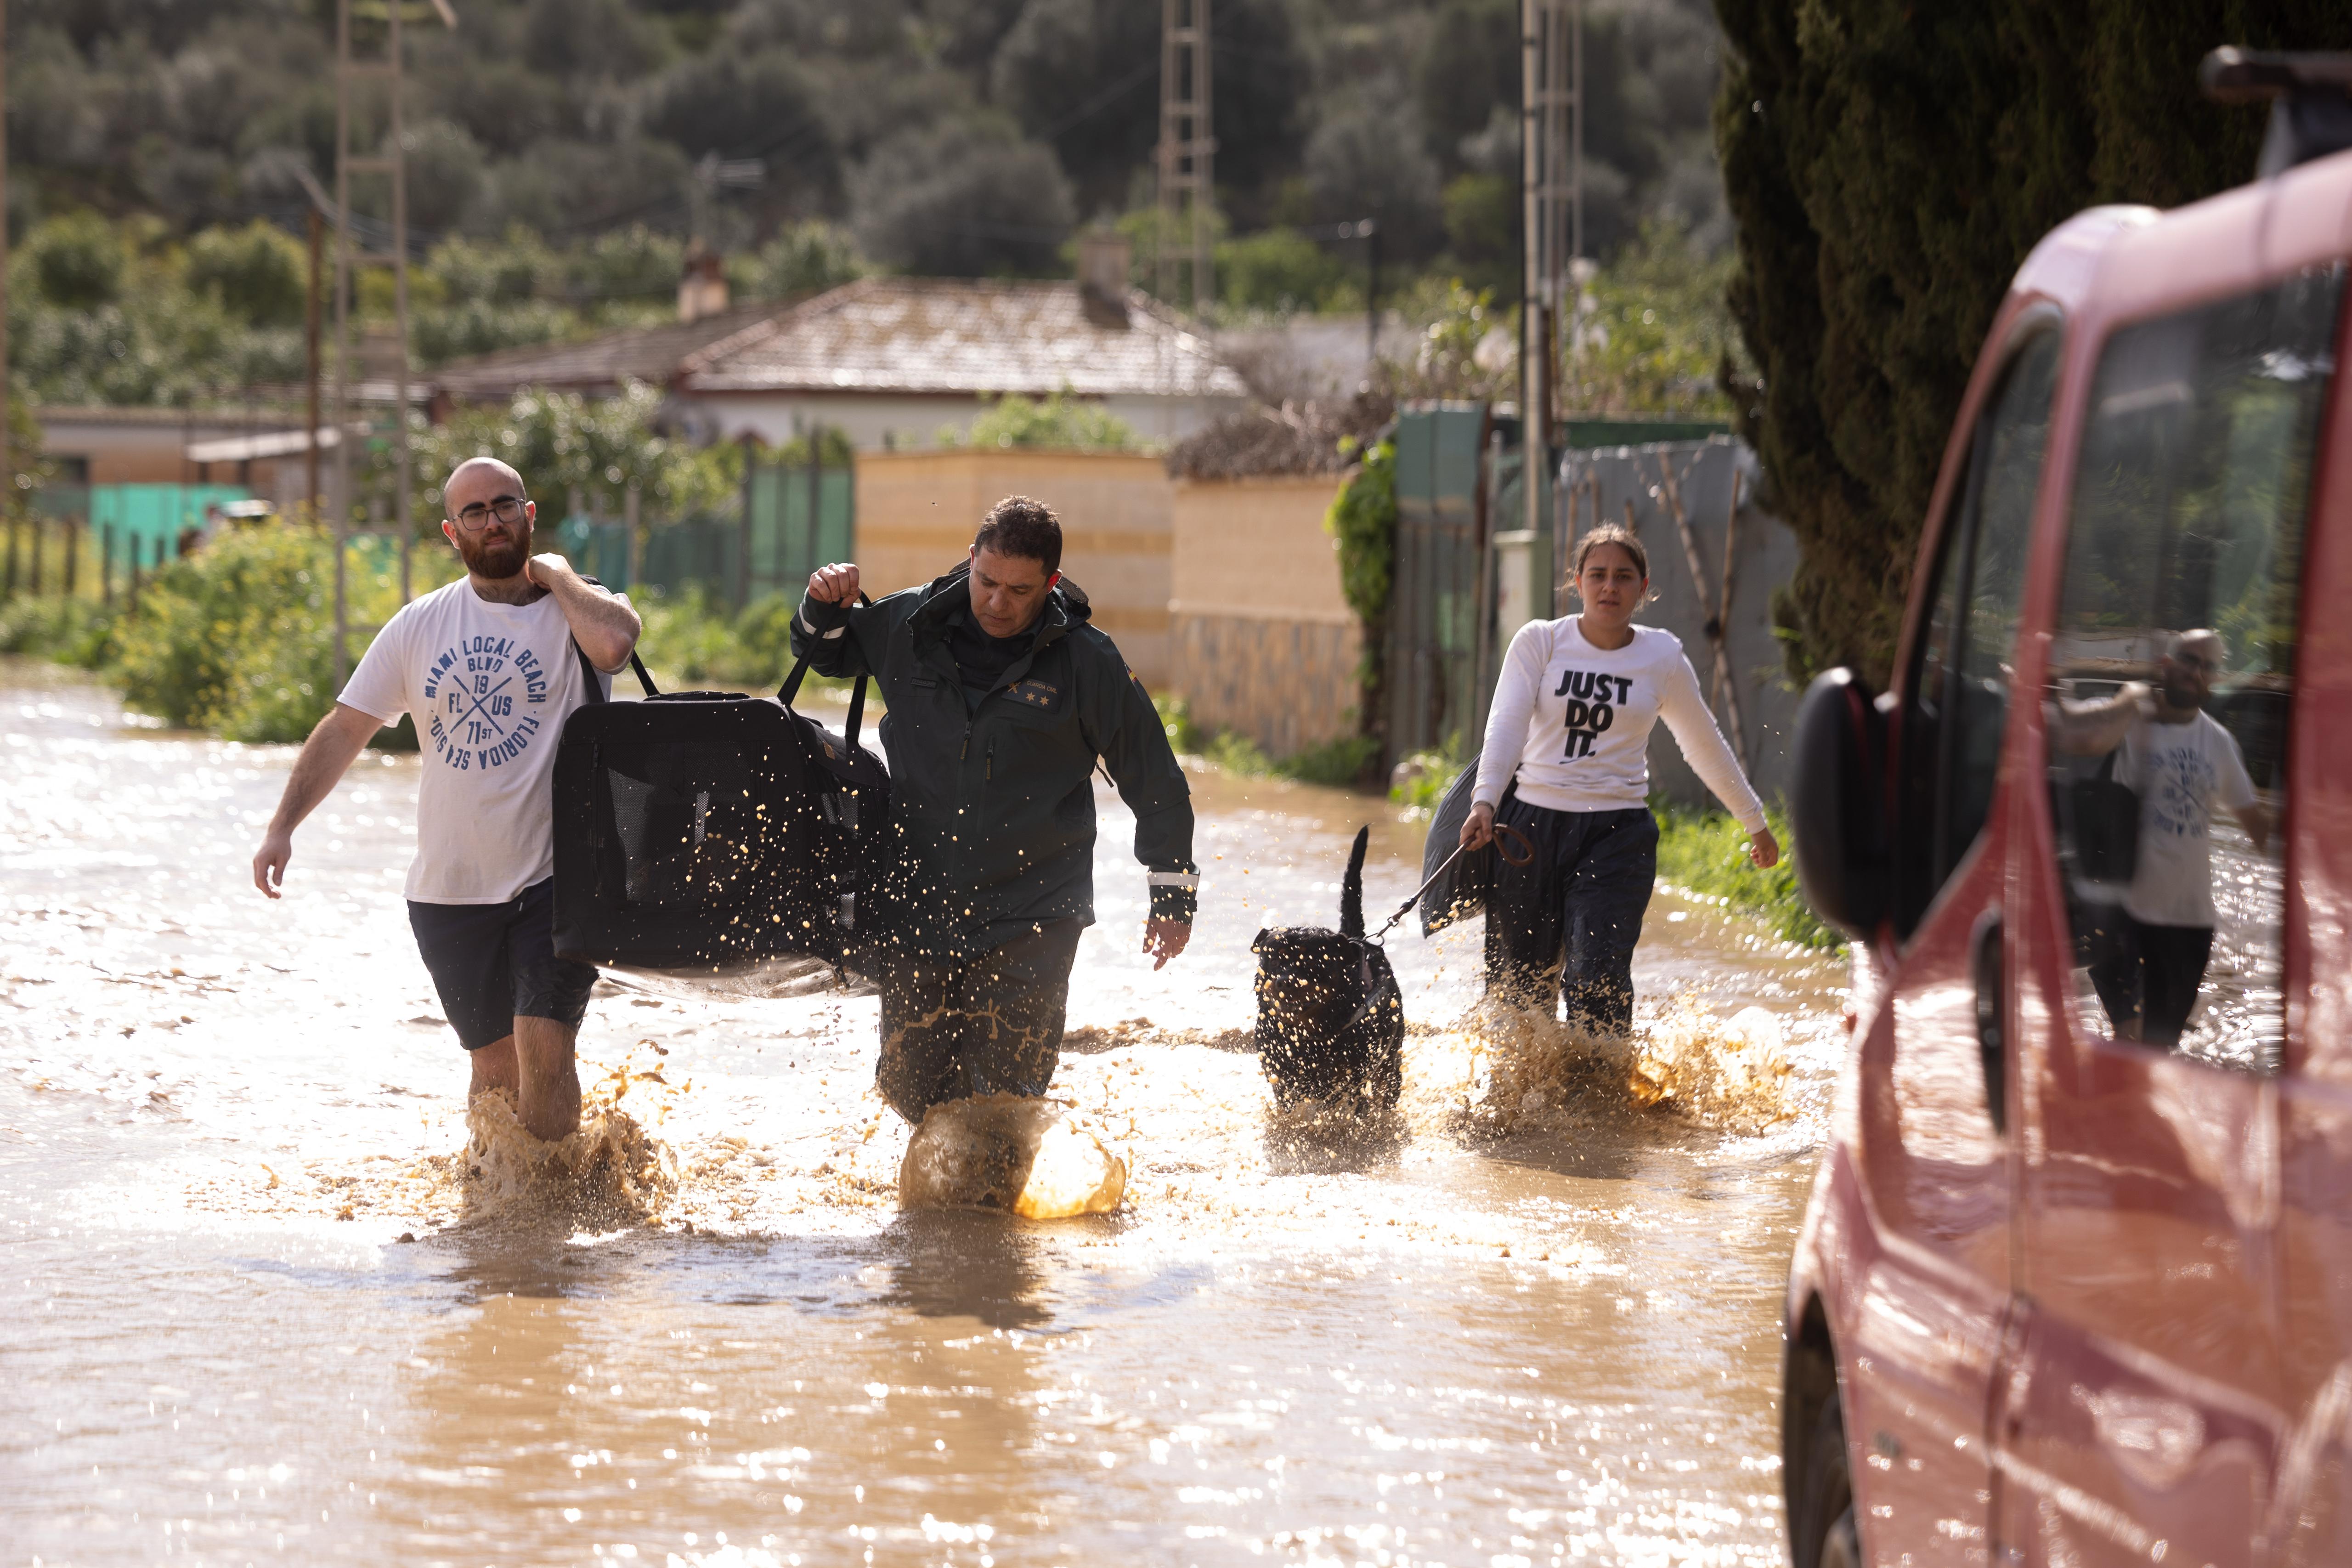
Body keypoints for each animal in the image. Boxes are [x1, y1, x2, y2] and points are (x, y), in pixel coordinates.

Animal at [1251, 827, 1392, 1109]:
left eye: (1313, 962)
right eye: (1274, 960)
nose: (1285, 981)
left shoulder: (1352, 1074)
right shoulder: (1279, 1070)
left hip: (1390, 1057)